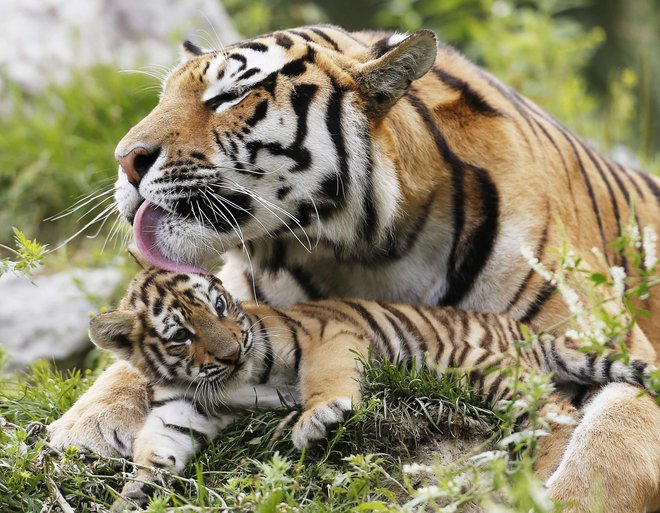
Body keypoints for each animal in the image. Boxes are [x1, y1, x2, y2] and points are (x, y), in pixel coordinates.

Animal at [50, 26, 660, 510]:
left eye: (231, 95)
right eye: (163, 97)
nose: (125, 160)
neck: (367, 250)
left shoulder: (609, 342)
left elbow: (614, 443)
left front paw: (575, 500)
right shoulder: (243, 299)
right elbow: (131, 364)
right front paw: (79, 433)